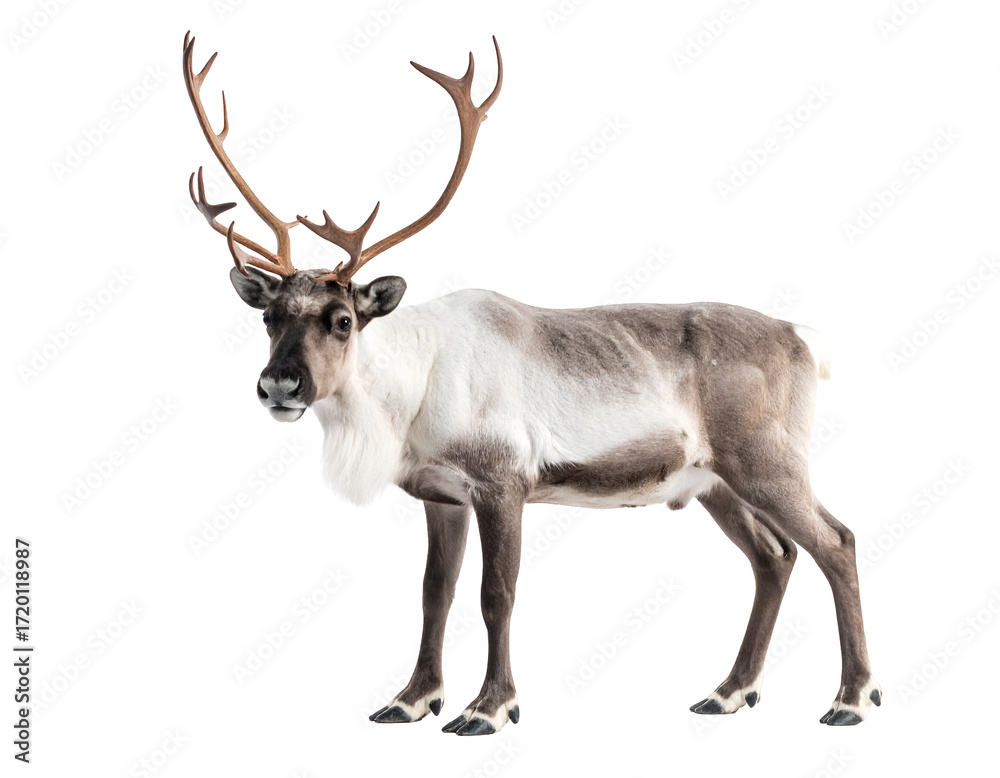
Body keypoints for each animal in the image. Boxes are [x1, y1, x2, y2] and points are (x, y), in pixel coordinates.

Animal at [182, 31, 881, 735]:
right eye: (269, 316)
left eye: (343, 320)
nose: (280, 384)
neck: (409, 397)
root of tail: (800, 337)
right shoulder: (440, 495)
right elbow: (434, 594)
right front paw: (412, 698)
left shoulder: (503, 483)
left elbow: (497, 594)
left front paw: (489, 707)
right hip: (714, 481)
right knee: (775, 557)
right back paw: (730, 690)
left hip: (767, 461)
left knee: (837, 542)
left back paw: (851, 698)